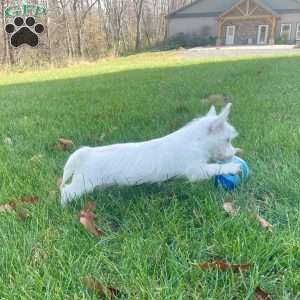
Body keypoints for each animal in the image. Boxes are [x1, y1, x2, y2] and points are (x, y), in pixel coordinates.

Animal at [59, 103, 240, 206]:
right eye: (227, 140)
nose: (234, 152)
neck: (195, 140)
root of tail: (87, 152)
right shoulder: (196, 171)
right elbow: (214, 168)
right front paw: (233, 167)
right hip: (83, 183)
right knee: (66, 192)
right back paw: (64, 207)